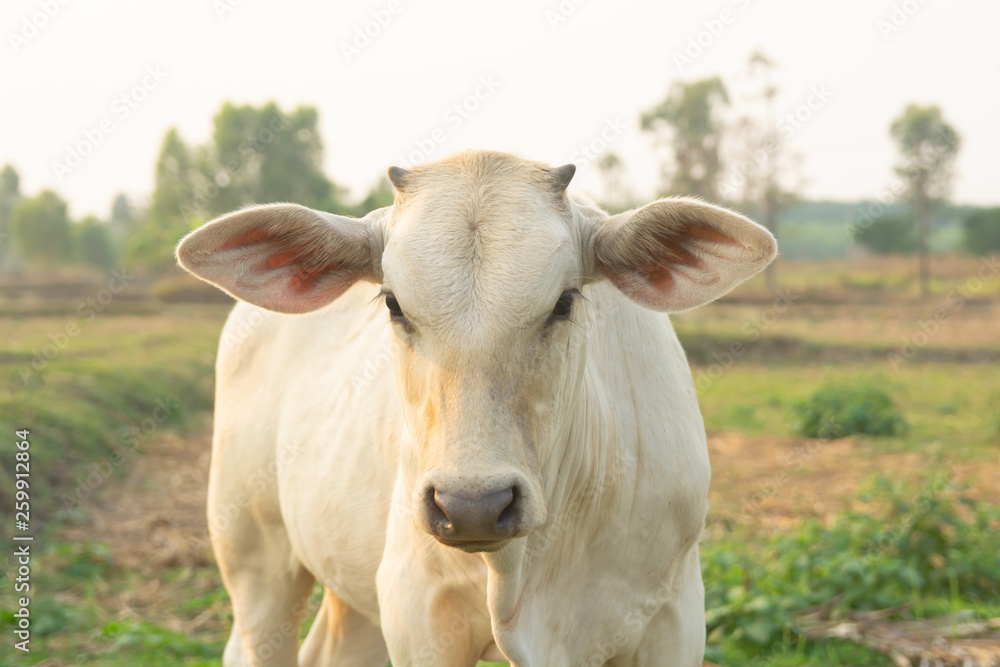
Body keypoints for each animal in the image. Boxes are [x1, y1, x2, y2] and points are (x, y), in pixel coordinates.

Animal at [176, 151, 776, 667]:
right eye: (393, 303)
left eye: (564, 302)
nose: (473, 505)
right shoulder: (418, 616)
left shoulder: (674, 617)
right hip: (253, 558)